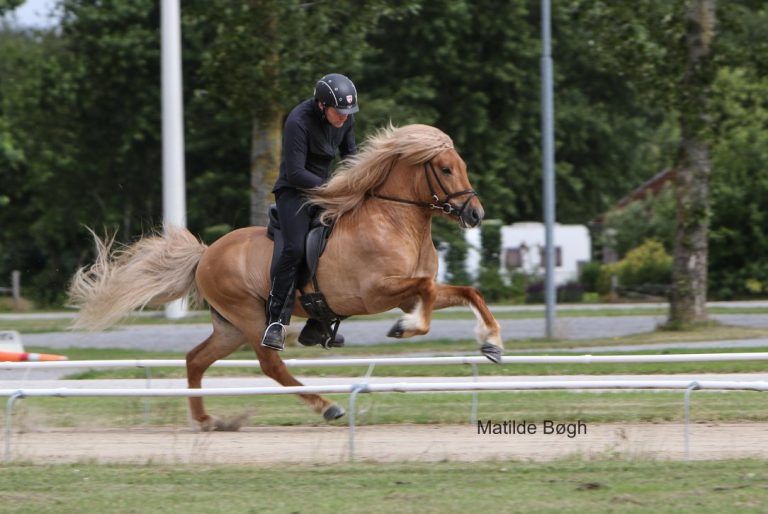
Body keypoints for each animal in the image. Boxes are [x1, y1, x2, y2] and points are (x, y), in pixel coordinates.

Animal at [69, 123, 504, 428]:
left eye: (462, 167)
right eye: (445, 169)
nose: (476, 214)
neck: (394, 220)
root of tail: (206, 254)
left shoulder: (404, 291)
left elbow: (467, 291)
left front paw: (492, 343)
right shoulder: (375, 293)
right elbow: (427, 291)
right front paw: (407, 327)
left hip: (229, 327)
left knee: (196, 359)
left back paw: (208, 420)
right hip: (251, 318)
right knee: (270, 365)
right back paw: (327, 406)